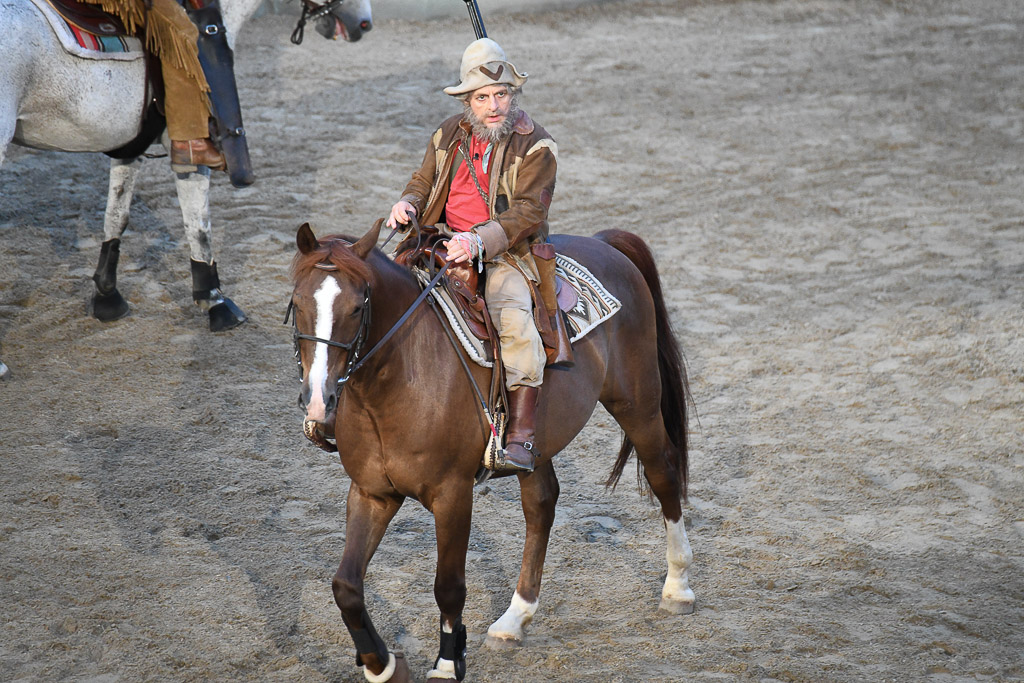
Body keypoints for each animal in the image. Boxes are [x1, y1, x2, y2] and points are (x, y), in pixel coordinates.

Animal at [0, 0, 376, 378]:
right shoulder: (190, 154)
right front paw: (215, 300)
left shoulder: (130, 148)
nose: (364, 23)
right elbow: (199, 227)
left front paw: (107, 297)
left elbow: (117, 215)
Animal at [288, 222, 696, 679]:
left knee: (663, 474)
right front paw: (382, 665)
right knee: (542, 505)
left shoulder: (452, 495)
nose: (318, 402)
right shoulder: (372, 493)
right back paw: (514, 619)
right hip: (538, 444)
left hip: (637, 405)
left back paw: (677, 587)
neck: (405, 373)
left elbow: (448, 587)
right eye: (297, 303)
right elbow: (346, 586)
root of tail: (604, 243)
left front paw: (447, 663)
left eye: (358, 308)